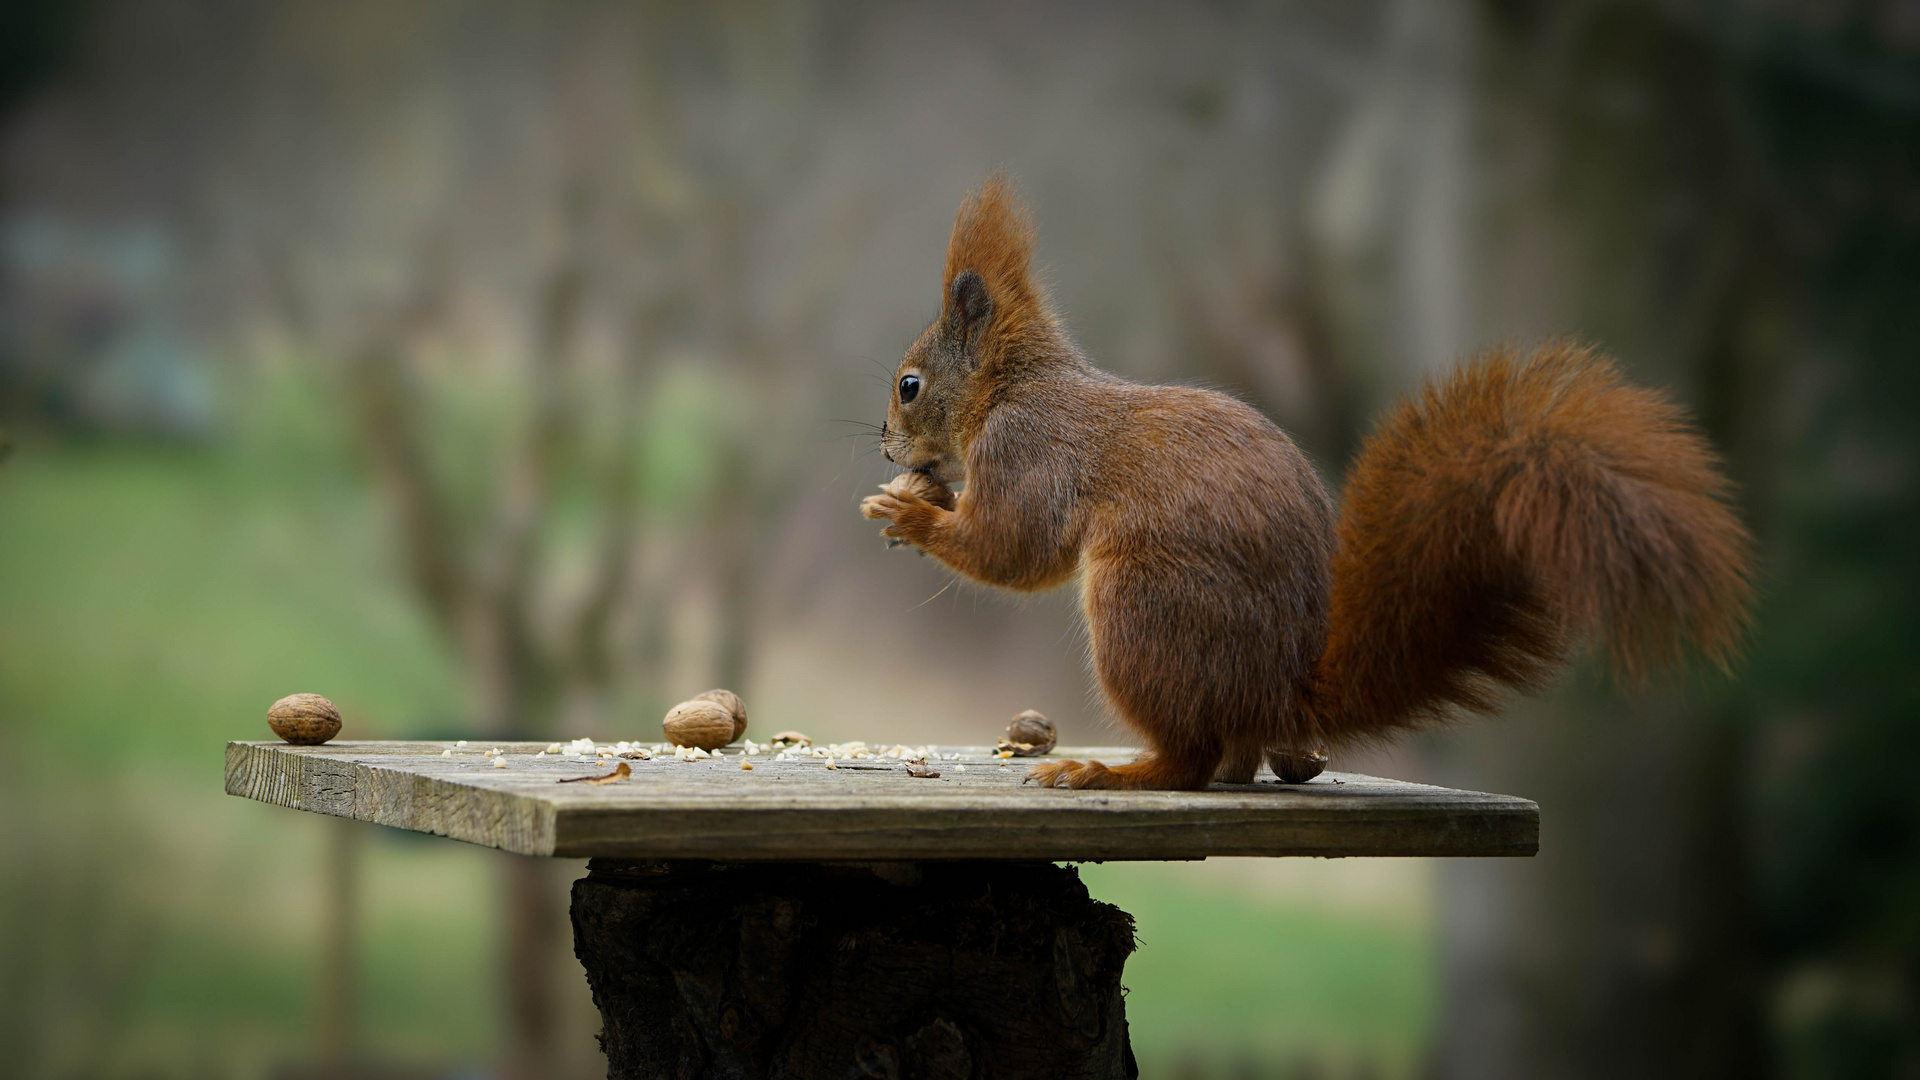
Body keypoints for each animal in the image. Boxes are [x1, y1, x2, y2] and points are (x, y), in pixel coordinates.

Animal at [860, 174, 1758, 780]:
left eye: (909, 385)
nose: (885, 448)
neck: (1013, 387)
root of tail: (1278, 694)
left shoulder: (1028, 450)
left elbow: (1016, 550)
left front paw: (910, 516)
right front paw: (919, 499)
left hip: (1143, 608)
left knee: (1189, 762)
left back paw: (1106, 771)